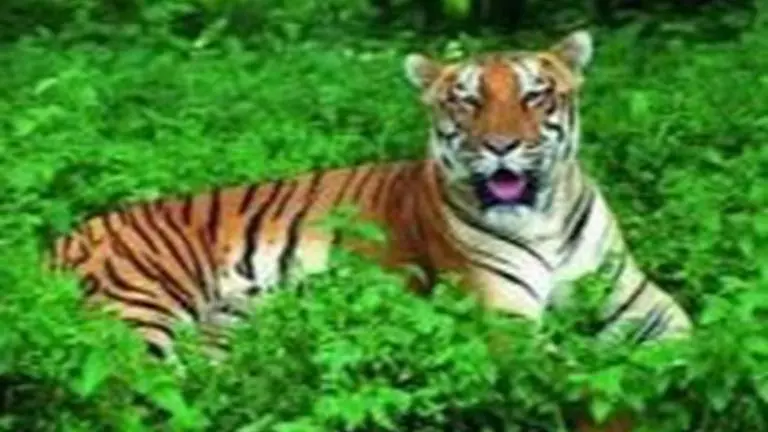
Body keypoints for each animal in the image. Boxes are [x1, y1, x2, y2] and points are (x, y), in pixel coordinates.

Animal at [49, 29, 691, 366]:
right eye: (467, 100)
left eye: (536, 95)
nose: (501, 146)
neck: (544, 220)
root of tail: (63, 239)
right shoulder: (502, 316)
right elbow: (575, 369)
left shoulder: (641, 303)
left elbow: (689, 342)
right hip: (141, 309)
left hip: (224, 324)